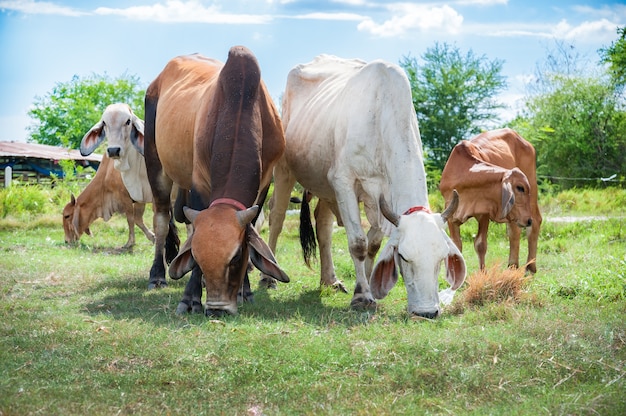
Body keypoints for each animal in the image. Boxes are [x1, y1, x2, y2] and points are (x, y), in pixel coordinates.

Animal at [136, 46, 288, 316]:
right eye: (196, 256)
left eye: (236, 257)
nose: (218, 309)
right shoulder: (200, 182)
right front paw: (190, 298)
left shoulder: (264, 183)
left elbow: (250, 229)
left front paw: (245, 291)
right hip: (155, 163)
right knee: (162, 219)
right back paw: (157, 276)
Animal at [266, 53, 466, 316]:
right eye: (403, 257)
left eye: (442, 258)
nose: (427, 312)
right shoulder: (343, 181)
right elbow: (358, 244)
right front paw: (361, 295)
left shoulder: (383, 199)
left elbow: (373, 245)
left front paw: (368, 288)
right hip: (284, 170)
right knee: (276, 218)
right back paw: (268, 278)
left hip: (325, 187)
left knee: (324, 226)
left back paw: (330, 280)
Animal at [436, 128, 540, 274]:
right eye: (520, 187)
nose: (527, 220)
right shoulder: (451, 213)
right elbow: (457, 246)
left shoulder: (484, 213)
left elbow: (480, 244)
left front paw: (483, 274)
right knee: (515, 231)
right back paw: (512, 265)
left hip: (531, 191)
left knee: (536, 221)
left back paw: (530, 267)